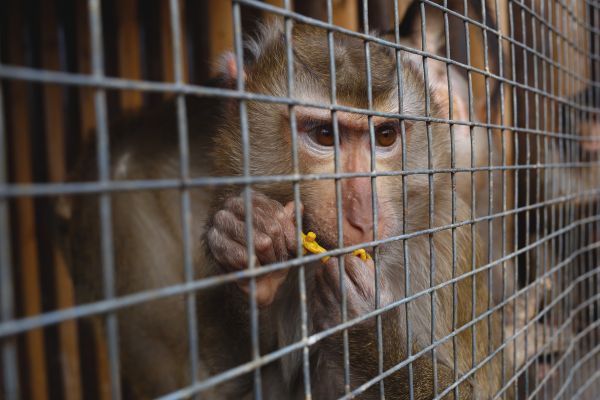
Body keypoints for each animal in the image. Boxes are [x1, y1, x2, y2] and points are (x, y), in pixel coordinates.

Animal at [65, 19, 504, 400]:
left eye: (385, 136)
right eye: (324, 134)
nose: (363, 217)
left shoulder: (448, 243)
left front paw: (369, 331)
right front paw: (247, 246)